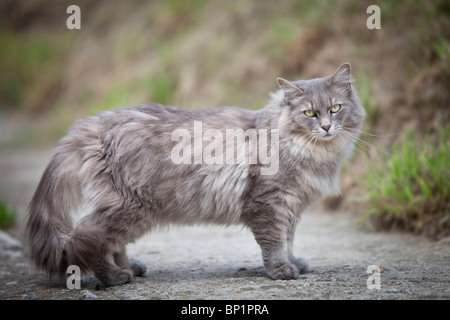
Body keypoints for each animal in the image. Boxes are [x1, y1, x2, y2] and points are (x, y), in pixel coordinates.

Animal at [25, 63, 366, 288]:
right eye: (309, 113)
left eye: (335, 108)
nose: (326, 127)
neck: (313, 153)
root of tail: (94, 123)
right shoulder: (269, 203)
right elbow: (274, 242)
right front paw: (281, 269)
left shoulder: (292, 206)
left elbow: (289, 239)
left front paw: (294, 262)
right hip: (133, 206)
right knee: (87, 234)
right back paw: (113, 276)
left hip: (127, 209)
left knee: (111, 240)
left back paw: (130, 268)